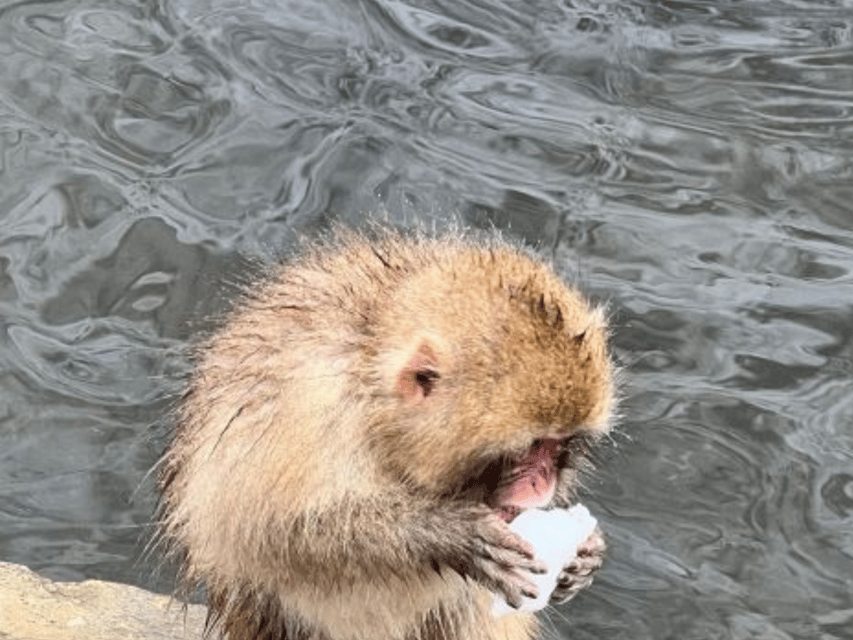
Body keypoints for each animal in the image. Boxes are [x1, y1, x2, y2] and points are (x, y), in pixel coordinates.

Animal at [157, 227, 615, 640]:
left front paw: (585, 558)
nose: (544, 483)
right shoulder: (305, 408)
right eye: (529, 448)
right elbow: (277, 531)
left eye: (559, 447)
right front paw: (447, 533)